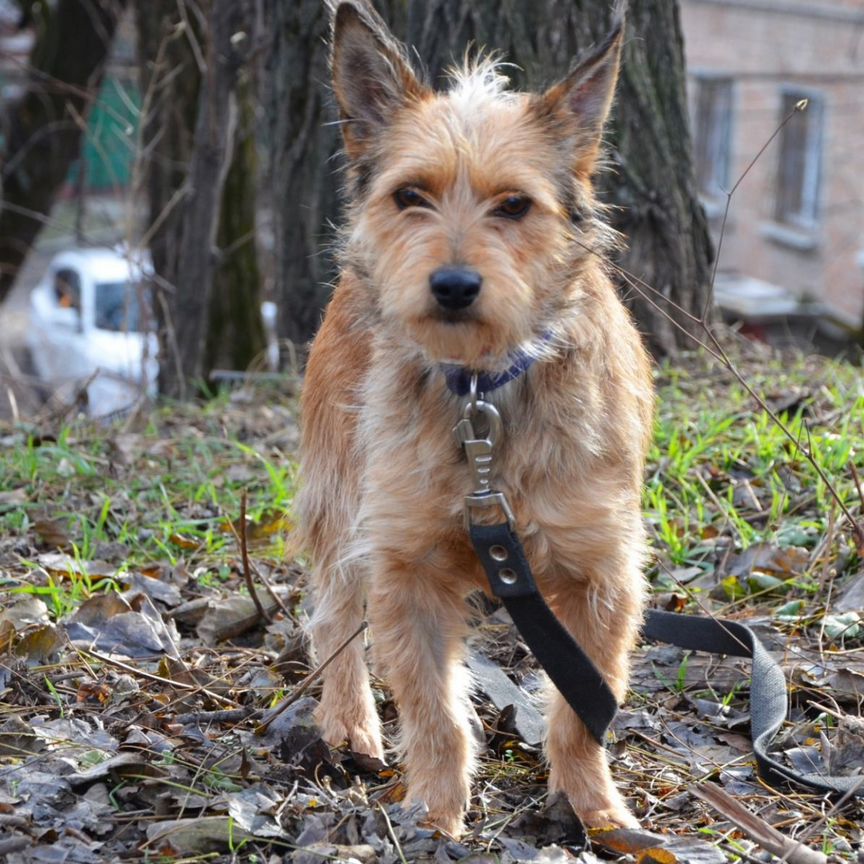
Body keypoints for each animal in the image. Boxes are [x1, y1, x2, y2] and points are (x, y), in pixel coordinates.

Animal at [296, 0, 656, 836]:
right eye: (410, 196)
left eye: (514, 205)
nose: (454, 284)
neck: (483, 391)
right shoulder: (406, 565)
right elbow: (435, 712)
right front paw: (434, 817)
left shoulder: (602, 575)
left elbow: (582, 711)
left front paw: (595, 810)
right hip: (342, 499)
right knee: (334, 618)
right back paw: (349, 724)